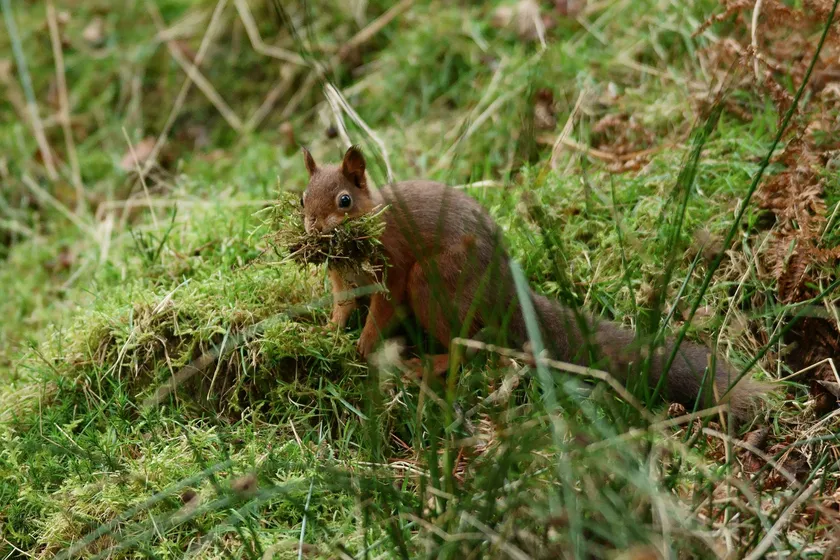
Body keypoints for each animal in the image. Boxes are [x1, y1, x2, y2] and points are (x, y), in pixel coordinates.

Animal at [299, 146, 767, 421]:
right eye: (302, 197)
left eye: (345, 200)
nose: (312, 229)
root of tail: (507, 291)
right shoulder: (342, 279)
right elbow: (341, 306)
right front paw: (327, 331)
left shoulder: (393, 267)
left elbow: (383, 310)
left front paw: (364, 344)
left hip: (433, 284)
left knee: (468, 345)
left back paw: (427, 364)